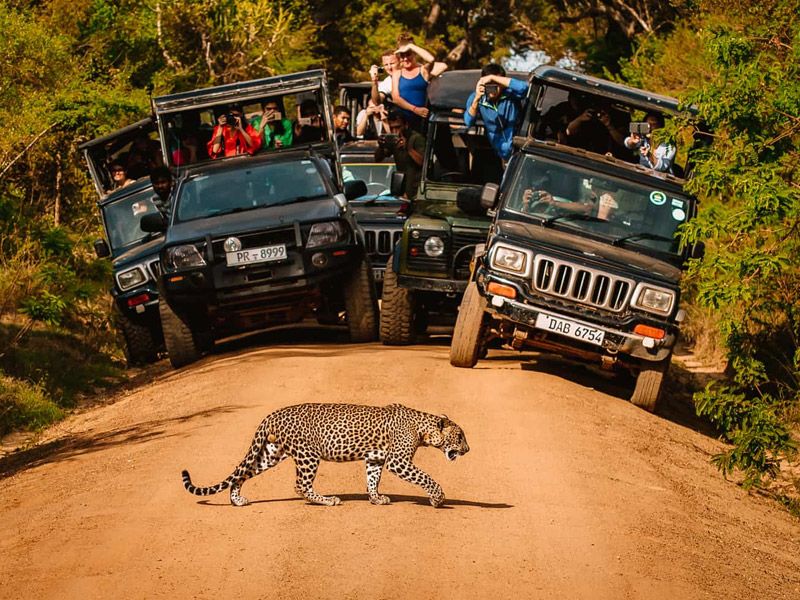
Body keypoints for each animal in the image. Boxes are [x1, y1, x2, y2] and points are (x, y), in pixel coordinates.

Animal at [181, 404, 468, 506]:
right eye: (460, 437)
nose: (468, 450)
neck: (423, 428)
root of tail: (273, 414)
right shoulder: (398, 461)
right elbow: (425, 478)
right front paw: (438, 498)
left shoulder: (375, 458)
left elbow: (372, 479)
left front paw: (376, 498)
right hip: (308, 455)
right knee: (300, 485)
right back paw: (328, 500)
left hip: (272, 453)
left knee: (243, 473)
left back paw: (237, 500)